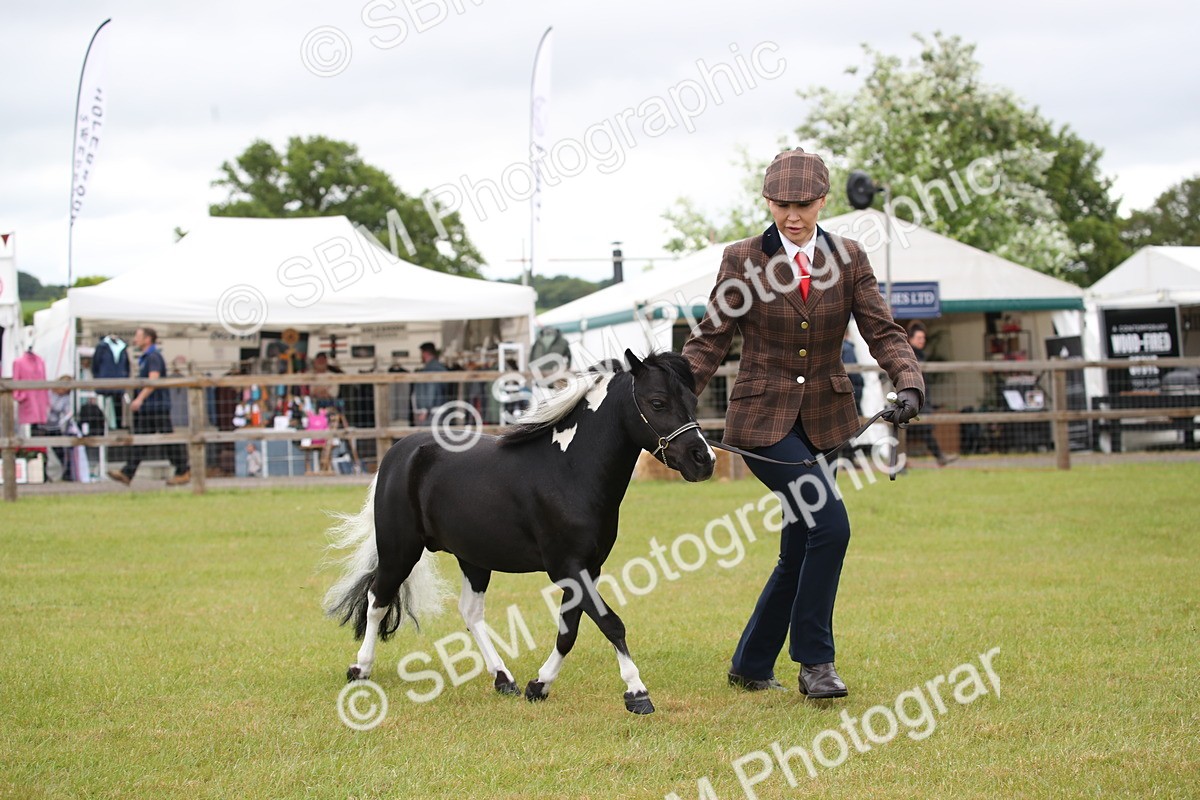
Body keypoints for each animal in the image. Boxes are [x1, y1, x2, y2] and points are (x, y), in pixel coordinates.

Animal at [324, 350, 716, 714]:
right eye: (658, 402)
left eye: (692, 400)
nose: (705, 460)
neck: (569, 470)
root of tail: (399, 452)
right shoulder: (567, 568)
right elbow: (611, 623)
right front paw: (637, 692)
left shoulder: (587, 569)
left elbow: (568, 631)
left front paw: (538, 686)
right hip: (400, 549)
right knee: (377, 599)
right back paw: (360, 668)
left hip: (473, 558)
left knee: (470, 612)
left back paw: (504, 679)